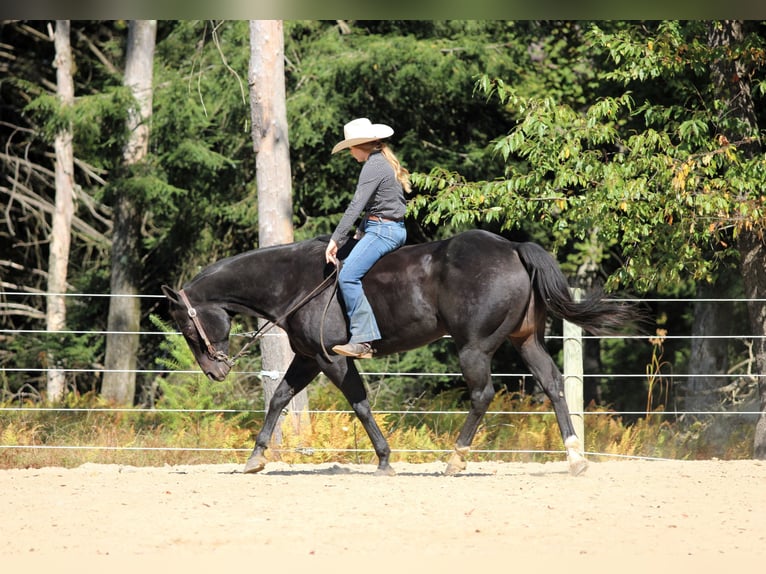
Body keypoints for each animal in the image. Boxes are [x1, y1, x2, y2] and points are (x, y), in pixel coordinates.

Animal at [162, 229, 638, 476]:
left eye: (186, 325)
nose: (215, 372)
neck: (296, 281)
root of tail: (513, 248)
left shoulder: (333, 359)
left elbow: (359, 404)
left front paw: (385, 459)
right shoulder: (308, 358)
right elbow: (279, 398)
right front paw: (255, 458)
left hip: (473, 347)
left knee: (482, 396)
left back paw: (455, 459)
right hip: (525, 340)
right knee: (553, 385)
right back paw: (574, 457)